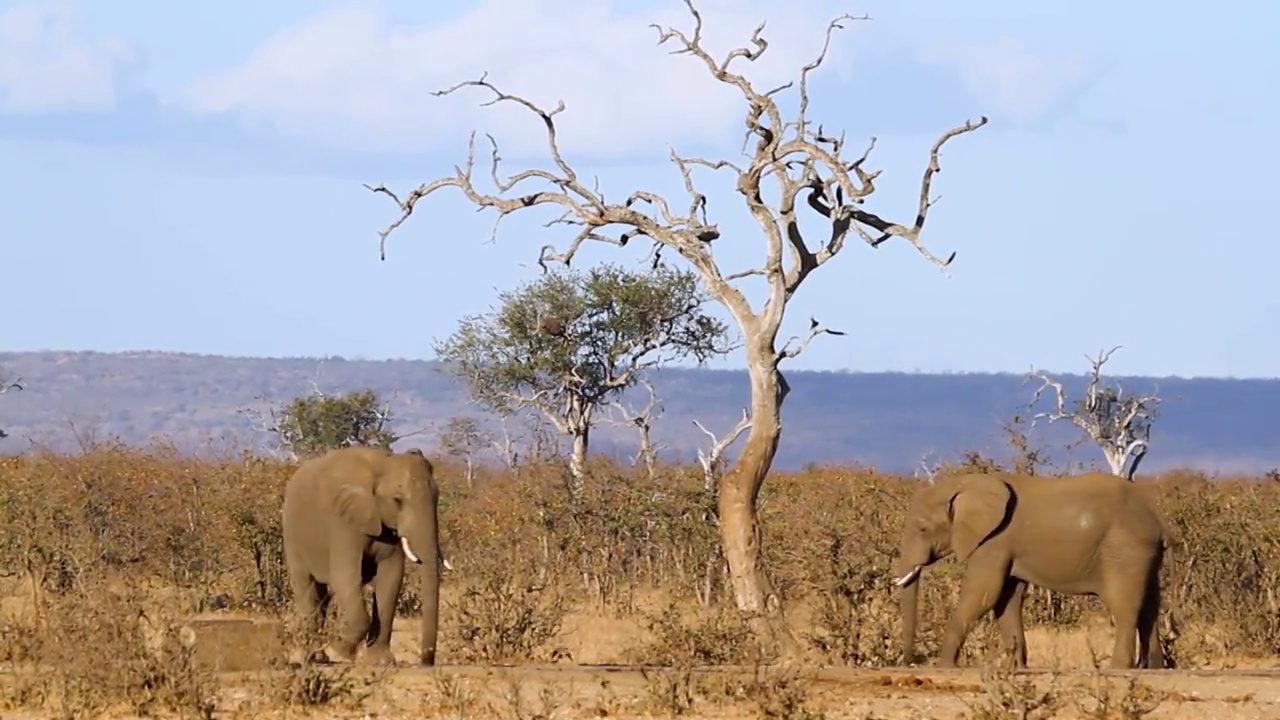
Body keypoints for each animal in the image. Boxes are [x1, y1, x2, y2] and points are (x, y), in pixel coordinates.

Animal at [282, 445, 448, 666]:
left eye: (437, 497)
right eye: (398, 500)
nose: (426, 660)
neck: (383, 464)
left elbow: (391, 578)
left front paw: (381, 662)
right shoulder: (343, 522)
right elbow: (344, 575)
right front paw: (340, 653)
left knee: (322, 596)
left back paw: (319, 657)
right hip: (292, 535)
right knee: (307, 590)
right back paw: (307, 658)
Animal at [890, 471, 1172, 666]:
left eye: (923, 529)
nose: (912, 660)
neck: (965, 483)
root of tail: (1157, 520)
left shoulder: (993, 542)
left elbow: (982, 594)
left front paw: (945, 665)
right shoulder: (1005, 546)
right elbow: (1006, 600)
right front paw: (1015, 668)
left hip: (1125, 548)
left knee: (1125, 606)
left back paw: (1118, 668)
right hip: (1144, 553)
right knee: (1151, 605)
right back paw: (1153, 668)